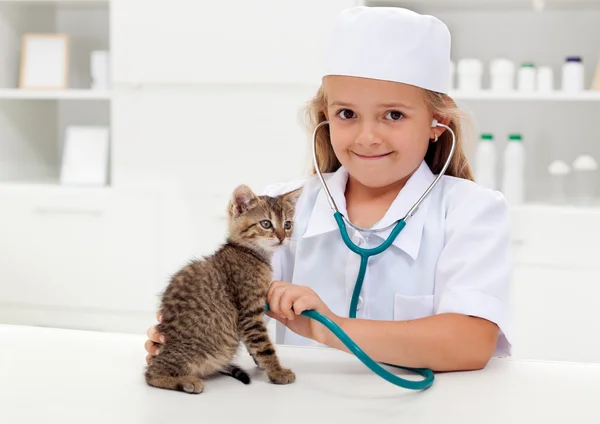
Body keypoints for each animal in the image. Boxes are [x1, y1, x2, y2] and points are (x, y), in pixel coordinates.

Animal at [143, 185, 298, 394]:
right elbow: (264, 346)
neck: (249, 252)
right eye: (266, 224)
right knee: (152, 374)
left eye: (287, 224)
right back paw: (185, 381)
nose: (282, 237)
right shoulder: (249, 313)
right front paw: (277, 372)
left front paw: (263, 365)